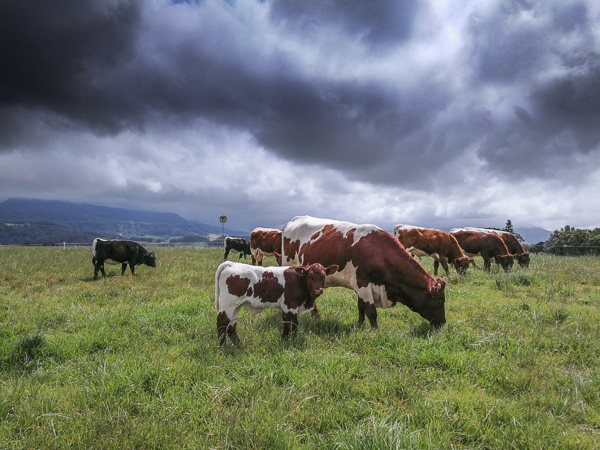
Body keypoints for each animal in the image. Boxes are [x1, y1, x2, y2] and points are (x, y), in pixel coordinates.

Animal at [282, 216, 446, 328]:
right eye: (439, 301)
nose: (443, 323)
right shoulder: (362, 282)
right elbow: (371, 311)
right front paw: (375, 332)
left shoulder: (361, 285)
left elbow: (361, 307)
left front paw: (360, 325)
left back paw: (317, 317)